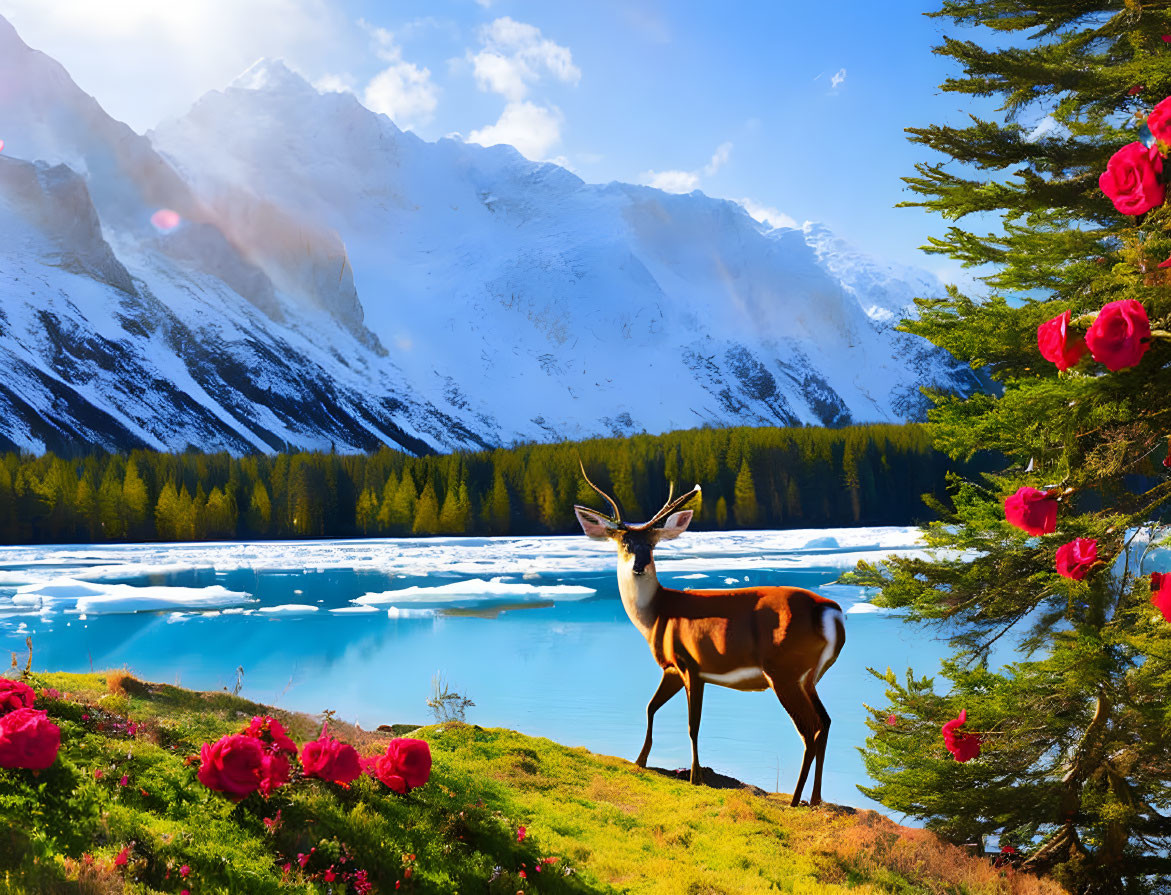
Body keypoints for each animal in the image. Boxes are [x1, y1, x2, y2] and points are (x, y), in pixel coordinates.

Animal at [573, 463, 843, 805]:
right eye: (624, 543)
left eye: (653, 544)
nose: (639, 565)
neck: (656, 614)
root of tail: (831, 611)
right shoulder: (672, 668)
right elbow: (650, 707)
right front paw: (641, 760)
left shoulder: (690, 663)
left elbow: (693, 724)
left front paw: (695, 777)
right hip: (808, 676)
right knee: (826, 722)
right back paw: (816, 799)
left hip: (784, 671)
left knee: (809, 730)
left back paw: (794, 800)